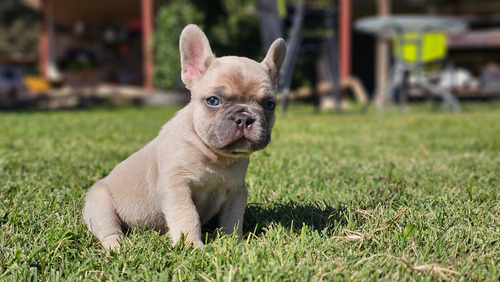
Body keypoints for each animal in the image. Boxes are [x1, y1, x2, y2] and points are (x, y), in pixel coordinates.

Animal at [82, 23, 286, 249]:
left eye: (269, 104)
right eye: (213, 101)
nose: (244, 118)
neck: (216, 157)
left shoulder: (236, 192)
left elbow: (233, 219)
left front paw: (235, 243)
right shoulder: (177, 186)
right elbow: (188, 215)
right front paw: (191, 245)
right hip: (99, 205)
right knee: (108, 229)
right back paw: (117, 245)